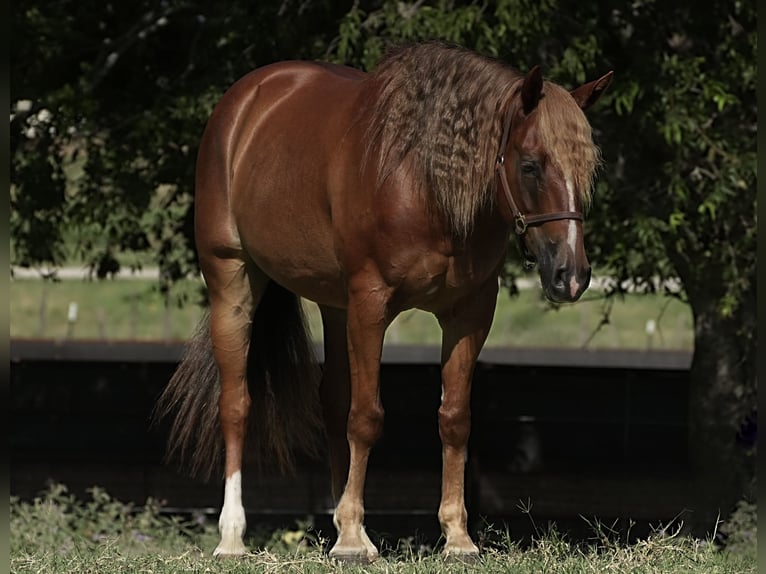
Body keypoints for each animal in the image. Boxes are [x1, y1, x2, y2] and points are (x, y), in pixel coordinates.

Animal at [159, 42, 616, 564]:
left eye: (588, 169)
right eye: (530, 165)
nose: (571, 275)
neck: (424, 184)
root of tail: (244, 102)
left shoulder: (470, 313)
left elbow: (453, 419)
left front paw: (456, 537)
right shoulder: (371, 304)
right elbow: (367, 417)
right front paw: (353, 542)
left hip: (335, 307)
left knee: (332, 401)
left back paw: (342, 524)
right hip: (233, 284)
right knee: (236, 403)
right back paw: (233, 536)